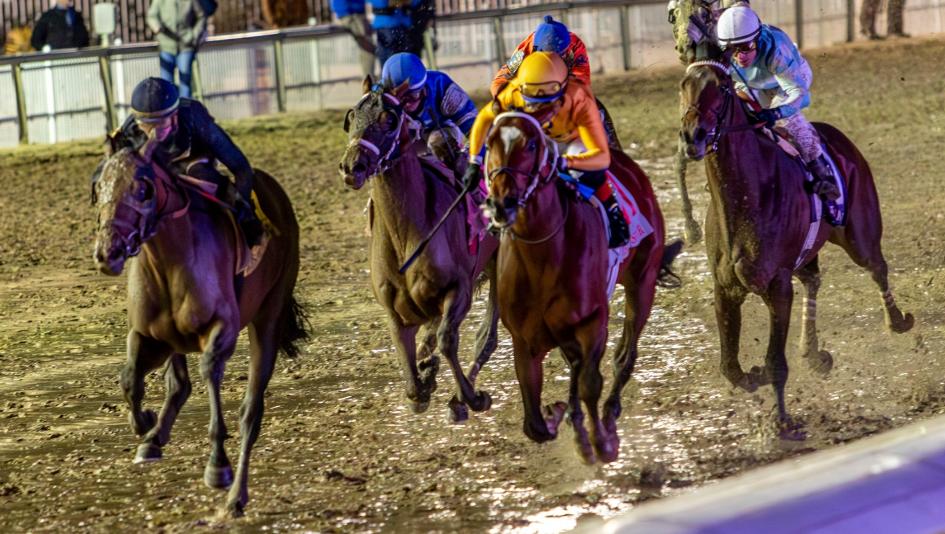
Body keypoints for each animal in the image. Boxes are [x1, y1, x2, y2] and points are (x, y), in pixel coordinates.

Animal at [92, 136, 307, 517]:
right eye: (99, 186)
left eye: (142, 188)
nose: (108, 252)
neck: (168, 262)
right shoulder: (148, 336)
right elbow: (130, 379)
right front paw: (145, 425)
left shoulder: (221, 330)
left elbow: (209, 373)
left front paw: (217, 464)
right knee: (179, 384)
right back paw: (155, 438)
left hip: (268, 317)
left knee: (251, 411)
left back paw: (236, 496)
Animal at [338, 78, 500, 423]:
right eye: (351, 116)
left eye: (388, 118)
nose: (351, 166)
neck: (406, 234)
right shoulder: (394, 310)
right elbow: (411, 373)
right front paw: (423, 379)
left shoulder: (459, 288)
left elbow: (447, 339)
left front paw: (470, 398)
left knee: (486, 334)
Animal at [483, 111, 671, 464]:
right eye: (489, 143)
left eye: (531, 144)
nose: (502, 202)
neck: (542, 256)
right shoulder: (524, 340)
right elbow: (534, 424)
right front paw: (560, 415)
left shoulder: (591, 321)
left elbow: (589, 381)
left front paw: (602, 442)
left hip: (643, 281)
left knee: (624, 355)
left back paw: (609, 412)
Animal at [679, 57, 914, 435]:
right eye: (684, 85)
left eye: (722, 87)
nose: (693, 135)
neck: (745, 197)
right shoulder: (725, 288)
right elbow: (729, 367)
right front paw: (754, 376)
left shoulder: (778, 286)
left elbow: (776, 361)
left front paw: (782, 423)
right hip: (807, 254)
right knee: (813, 279)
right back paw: (814, 353)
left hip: (859, 234)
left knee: (877, 267)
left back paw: (896, 321)